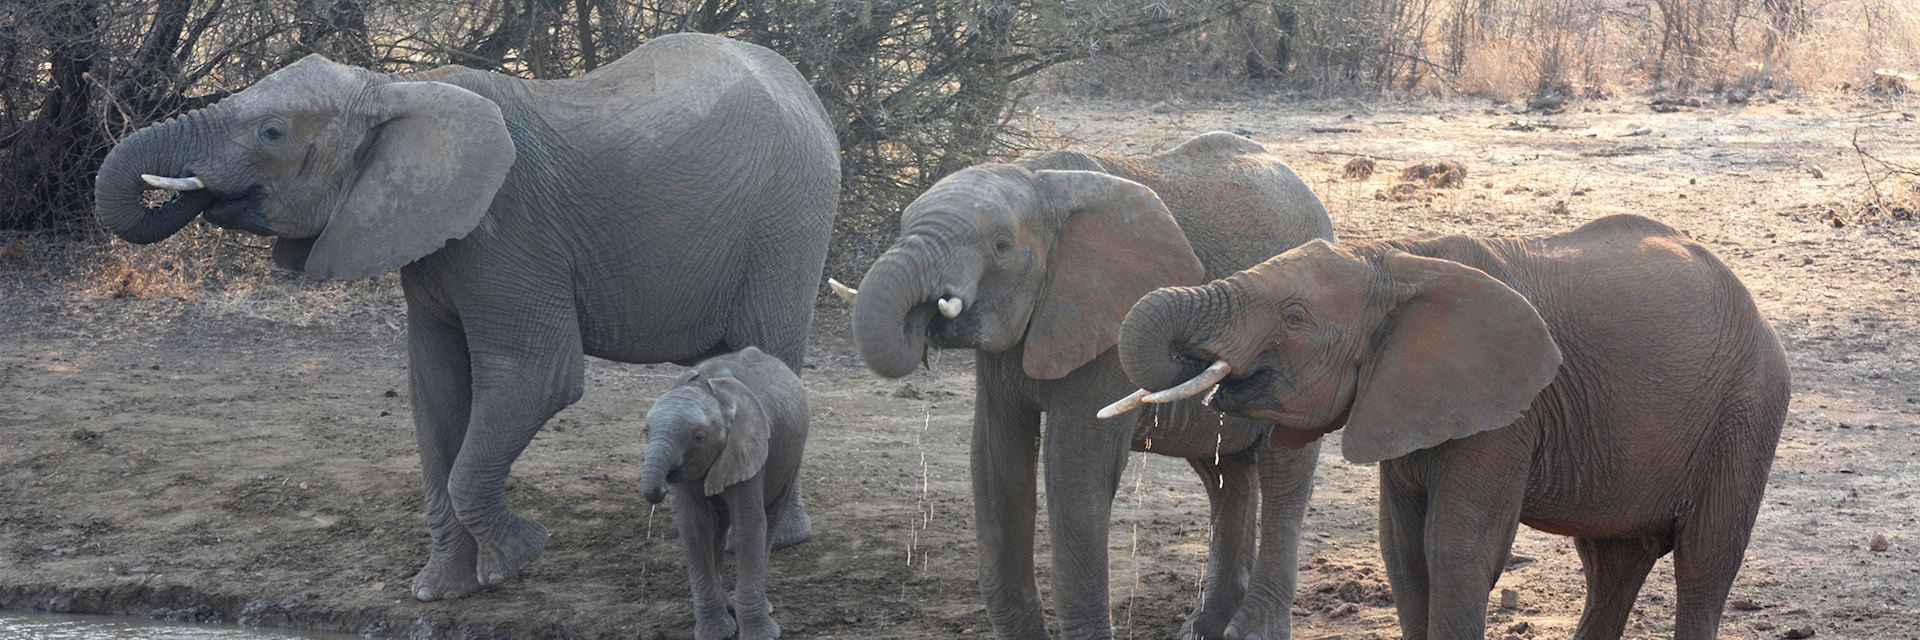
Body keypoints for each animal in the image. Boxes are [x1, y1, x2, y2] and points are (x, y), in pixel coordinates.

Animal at [93, 34, 837, 599]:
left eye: (272, 132)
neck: (396, 91)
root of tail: (806, 92)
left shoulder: (508, 230)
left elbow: (539, 376)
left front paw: (518, 559)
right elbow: (436, 392)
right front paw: (441, 591)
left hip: (789, 219)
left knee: (768, 356)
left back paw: (774, 541)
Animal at [637, 344, 802, 638]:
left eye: (699, 437)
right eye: (646, 431)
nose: (659, 490)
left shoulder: (749, 448)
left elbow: (749, 527)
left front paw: (761, 635)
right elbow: (694, 527)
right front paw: (716, 633)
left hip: (791, 457)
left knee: (770, 520)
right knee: (717, 526)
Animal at [840, 131, 1336, 634]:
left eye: (1000, 245)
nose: (925, 321)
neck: (1039, 182)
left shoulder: (1109, 317)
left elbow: (1075, 466)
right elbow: (996, 461)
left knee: (1281, 477)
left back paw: (1250, 630)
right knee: (1225, 474)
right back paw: (1204, 630)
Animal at [1121, 214, 1789, 638]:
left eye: (1293, 315)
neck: (1395, 257)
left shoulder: (1507, 410)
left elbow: (1455, 546)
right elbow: (1402, 549)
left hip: (1747, 410)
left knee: (1704, 563)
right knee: (1613, 565)